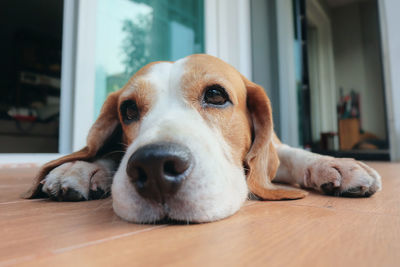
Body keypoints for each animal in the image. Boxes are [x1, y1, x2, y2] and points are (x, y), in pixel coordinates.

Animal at [24, 54, 382, 224]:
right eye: (128, 109)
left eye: (215, 95)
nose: (154, 166)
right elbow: (109, 154)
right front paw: (80, 169)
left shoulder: (277, 148)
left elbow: (293, 155)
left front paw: (336, 165)